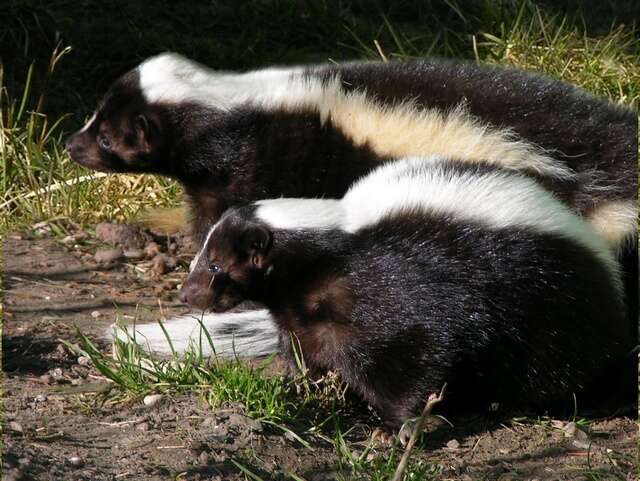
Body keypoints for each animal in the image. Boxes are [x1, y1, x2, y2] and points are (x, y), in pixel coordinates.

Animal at [175, 158, 632, 432]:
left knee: (558, 363)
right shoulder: (304, 313)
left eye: (216, 266)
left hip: (552, 305)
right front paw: (299, 388)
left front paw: (407, 426)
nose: (186, 294)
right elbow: (304, 351)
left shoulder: (394, 289)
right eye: (204, 259)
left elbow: (422, 349)